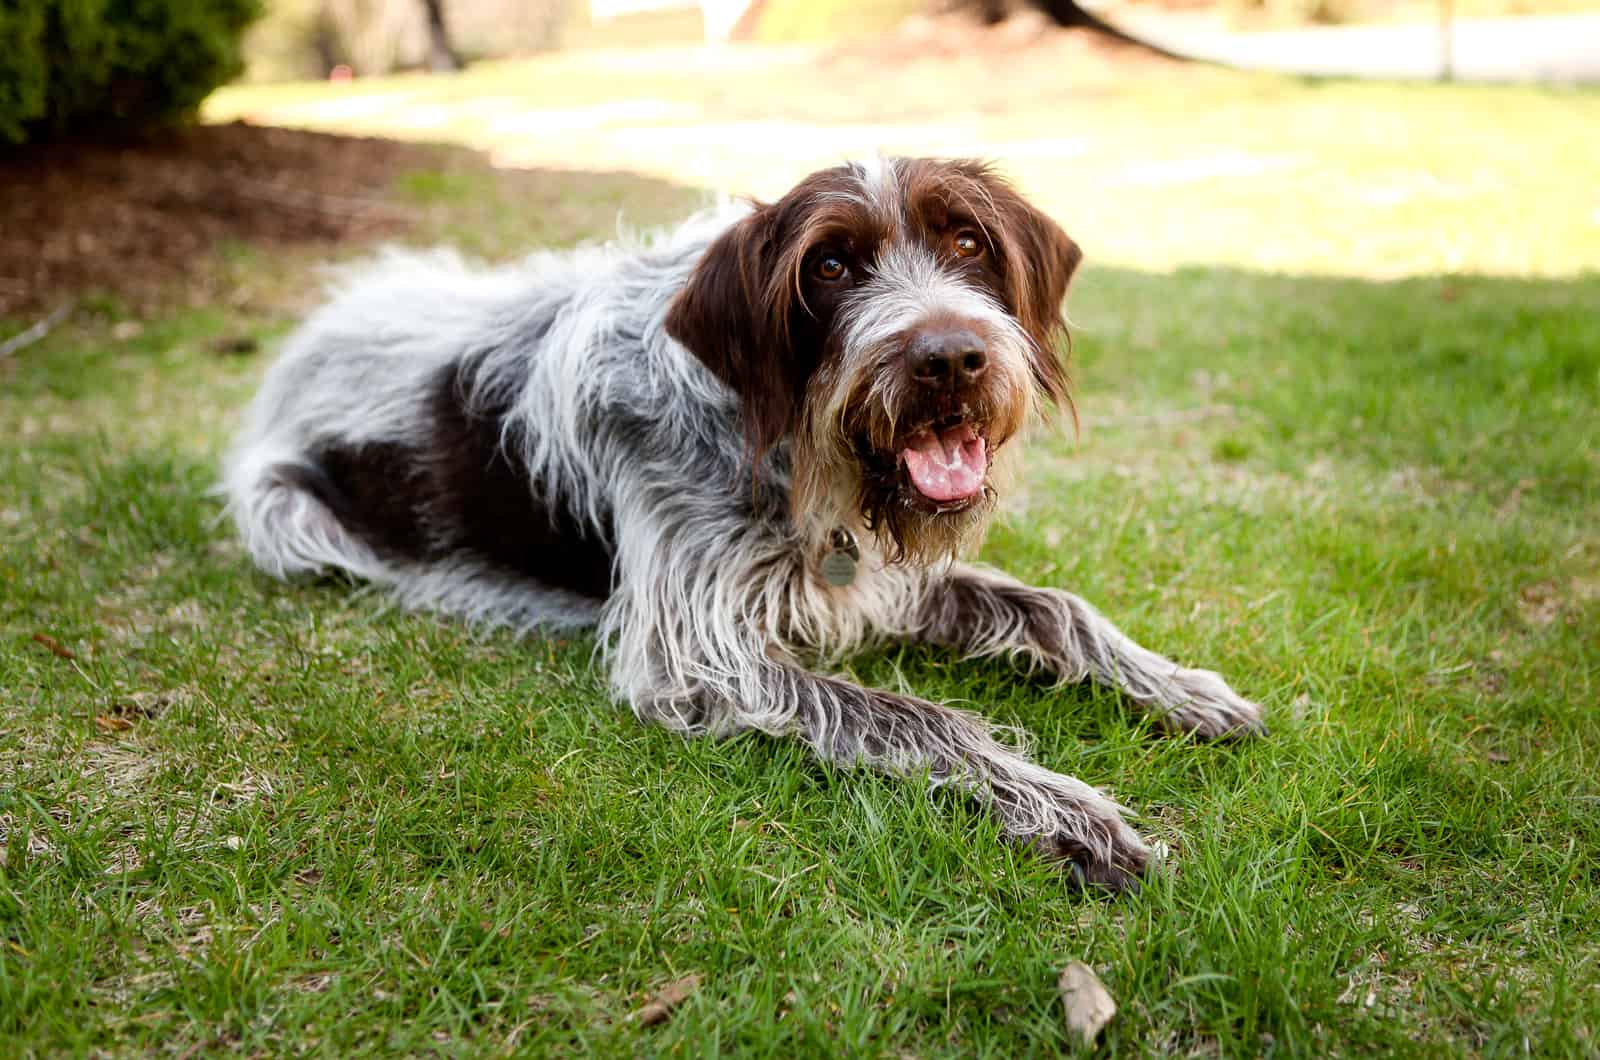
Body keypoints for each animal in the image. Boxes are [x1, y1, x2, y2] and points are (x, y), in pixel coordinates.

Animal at [225, 156, 1267, 890]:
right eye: (832, 265)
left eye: (969, 245)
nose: (949, 359)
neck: (790, 456)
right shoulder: (695, 653)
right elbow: (916, 718)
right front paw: (1070, 813)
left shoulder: (876, 578)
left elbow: (1055, 608)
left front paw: (1183, 689)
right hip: (289, 517)